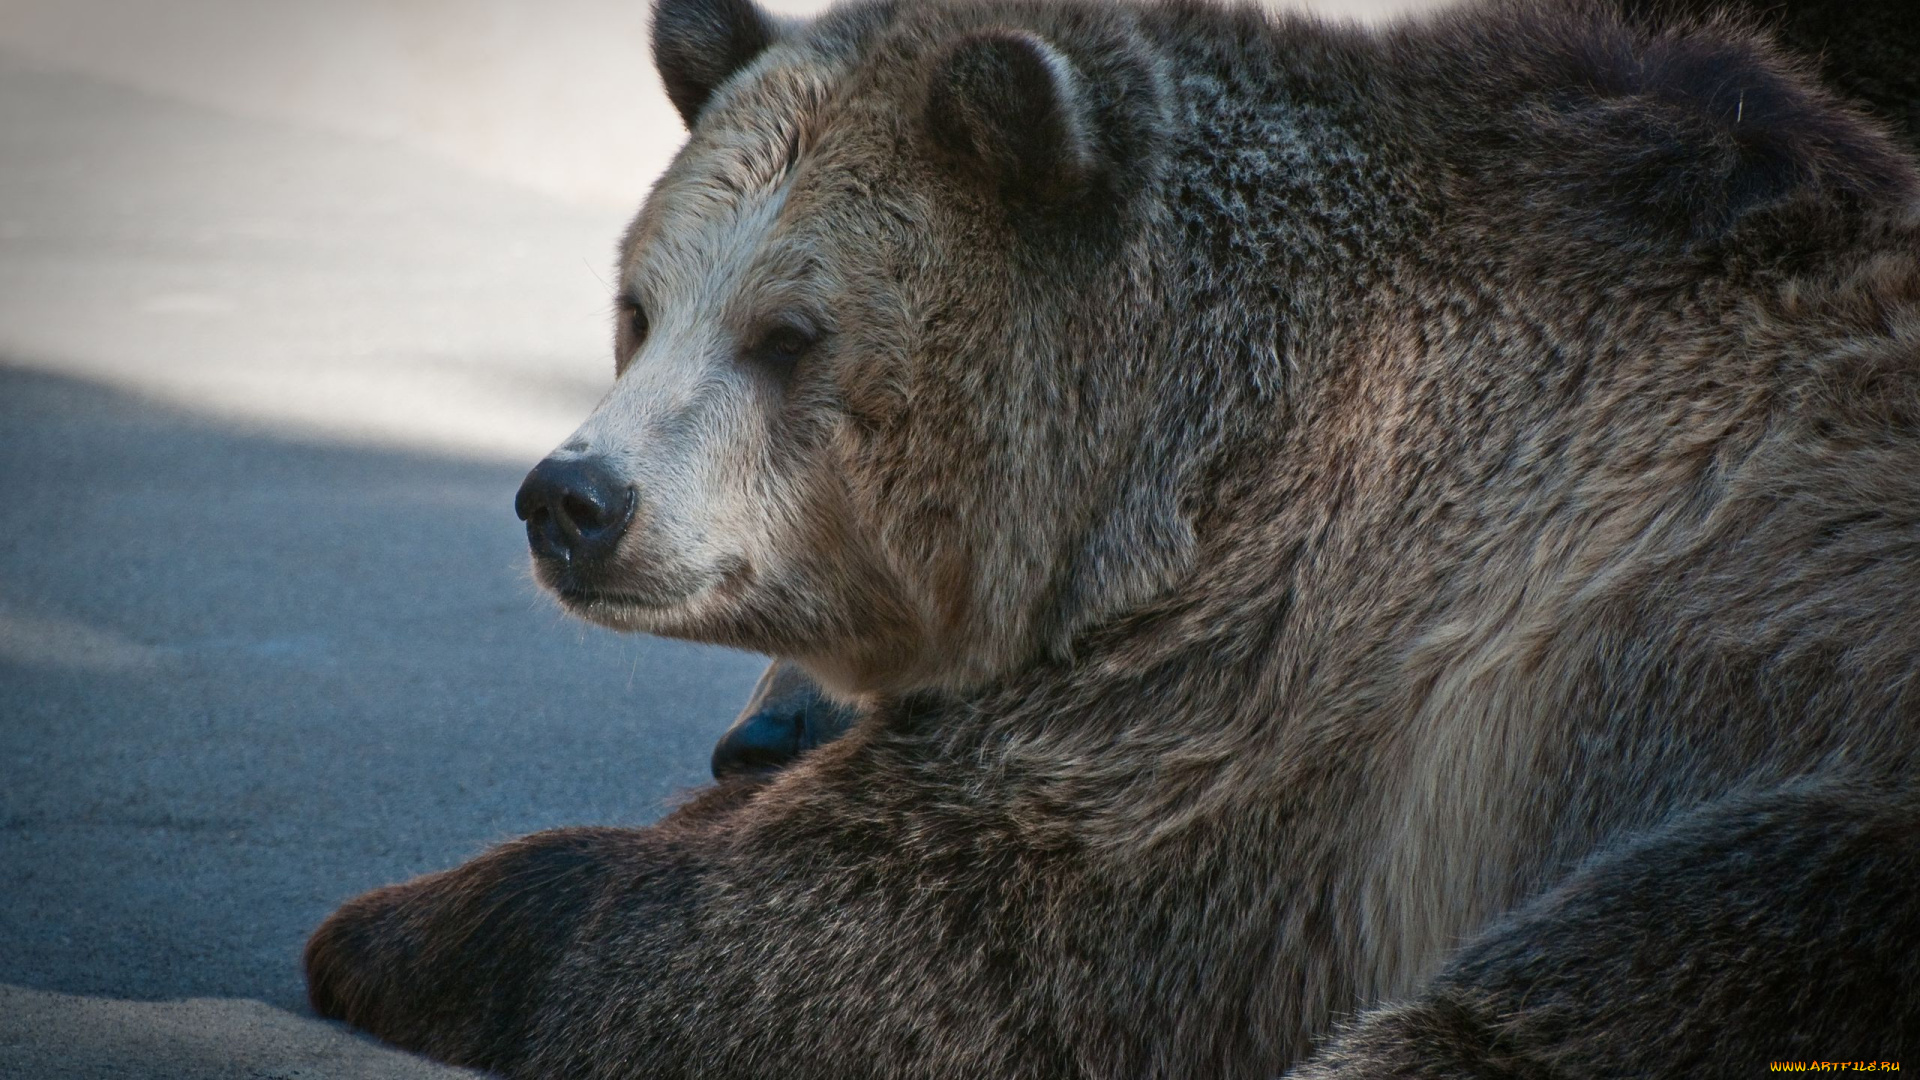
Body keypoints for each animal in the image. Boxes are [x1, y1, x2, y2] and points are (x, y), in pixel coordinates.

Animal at [307, 0, 1920, 1068]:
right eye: (641, 308)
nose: (573, 499)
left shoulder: (1283, 679)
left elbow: (863, 933)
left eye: (788, 334)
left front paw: (396, 927)